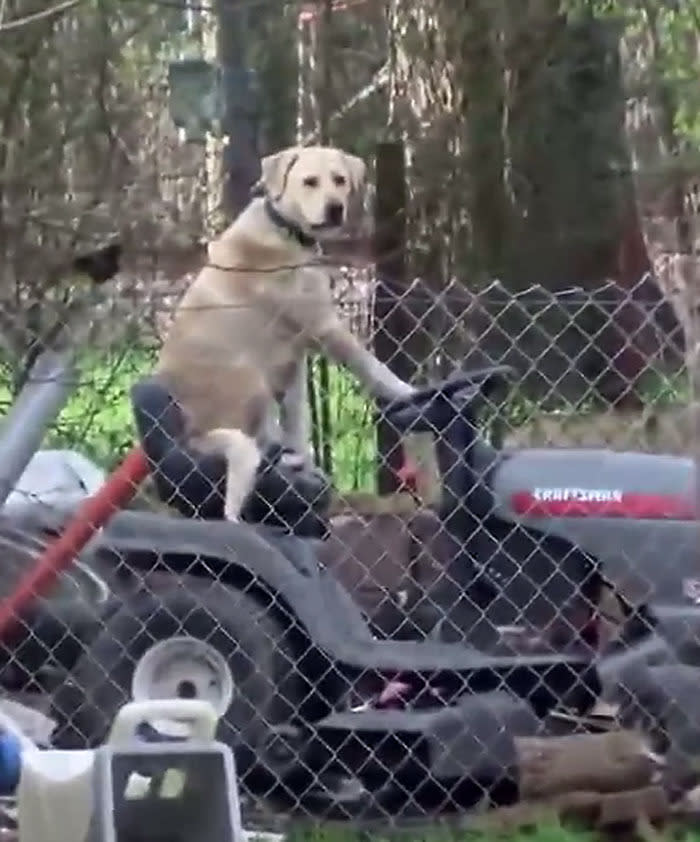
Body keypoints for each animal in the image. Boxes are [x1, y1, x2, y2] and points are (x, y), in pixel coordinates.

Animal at [156, 148, 412, 520]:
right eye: (310, 182)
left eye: (340, 180)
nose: (335, 208)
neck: (285, 231)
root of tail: (192, 437)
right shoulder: (325, 328)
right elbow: (375, 369)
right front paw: (407, 391)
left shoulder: (294, 357)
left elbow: (297, 421)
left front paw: (302, 459)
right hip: (248, 378)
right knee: (253, 441)